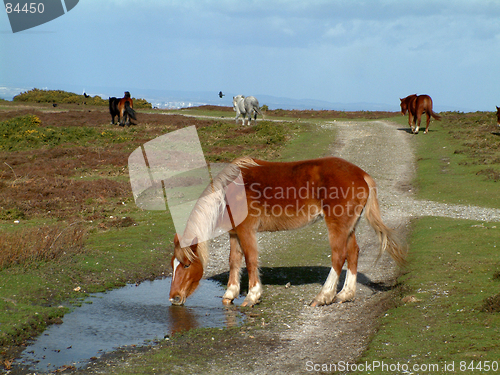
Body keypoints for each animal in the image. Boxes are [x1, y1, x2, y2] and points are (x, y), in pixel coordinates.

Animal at [169, 157, 406, 306]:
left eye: (186, 264)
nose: (174, 298)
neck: (229, 192)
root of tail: (361, 174)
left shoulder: (246, 231)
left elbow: (251, 259)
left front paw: (252, 296)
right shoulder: (235, 233)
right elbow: (234, 260)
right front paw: (230, 294)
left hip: (337, 226)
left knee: (339, 256)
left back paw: (323, 296)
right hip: (349, 227)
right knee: (353, 253)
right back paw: (345, 294)